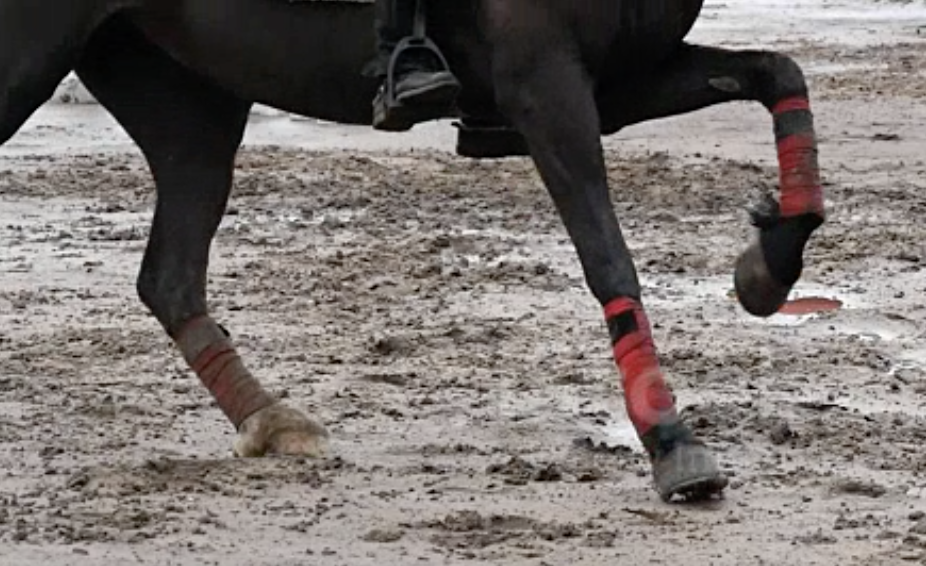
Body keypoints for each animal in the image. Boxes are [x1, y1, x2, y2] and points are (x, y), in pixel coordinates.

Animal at [0, 0, 828, 504]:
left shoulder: (621, 82)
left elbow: (776, 73)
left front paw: (769, 264)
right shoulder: (546, 86)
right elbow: (607, 258)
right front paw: (669, 439)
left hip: (188, 106)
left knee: (168, 277)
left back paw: (272, 419)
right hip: (33, 60)